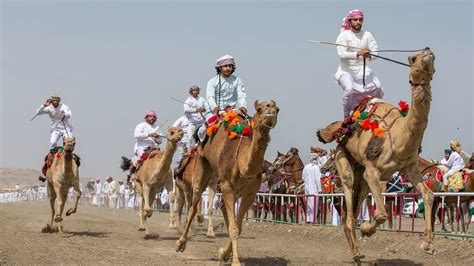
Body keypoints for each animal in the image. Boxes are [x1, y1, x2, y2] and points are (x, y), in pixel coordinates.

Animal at [174, 101, 278, 264]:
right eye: (260, 109)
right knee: (192, 207)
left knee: (222, 207)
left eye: (277, 109)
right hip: (203, 167)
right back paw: (180, 243)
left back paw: (224, 253)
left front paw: (224, 253)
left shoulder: (250, 193)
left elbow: (238, 227)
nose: (270, 109)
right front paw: (236, 261)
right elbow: (234, 228)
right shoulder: (227, 186)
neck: (242, 164)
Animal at [318, 47, 436, 260]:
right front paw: (366, 229)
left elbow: (429, 195)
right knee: (348, 192)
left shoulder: (410, 167)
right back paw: (356, 251)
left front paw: (427, 245)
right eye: (412, 58)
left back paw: (356, 248)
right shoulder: (372, 170)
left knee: (354, 205)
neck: (398, 137)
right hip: (342, 156)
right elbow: (380, 214)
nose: (427, 50)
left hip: (361, 173)